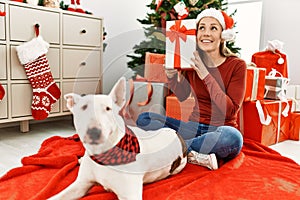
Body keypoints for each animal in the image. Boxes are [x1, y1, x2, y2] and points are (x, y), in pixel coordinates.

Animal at [49, 77, 188, 200]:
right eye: (83, 107)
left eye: (108, 108)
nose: (94, 132)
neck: (103, 155)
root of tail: (176, 133)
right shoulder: (80, 184)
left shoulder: (130, 195)